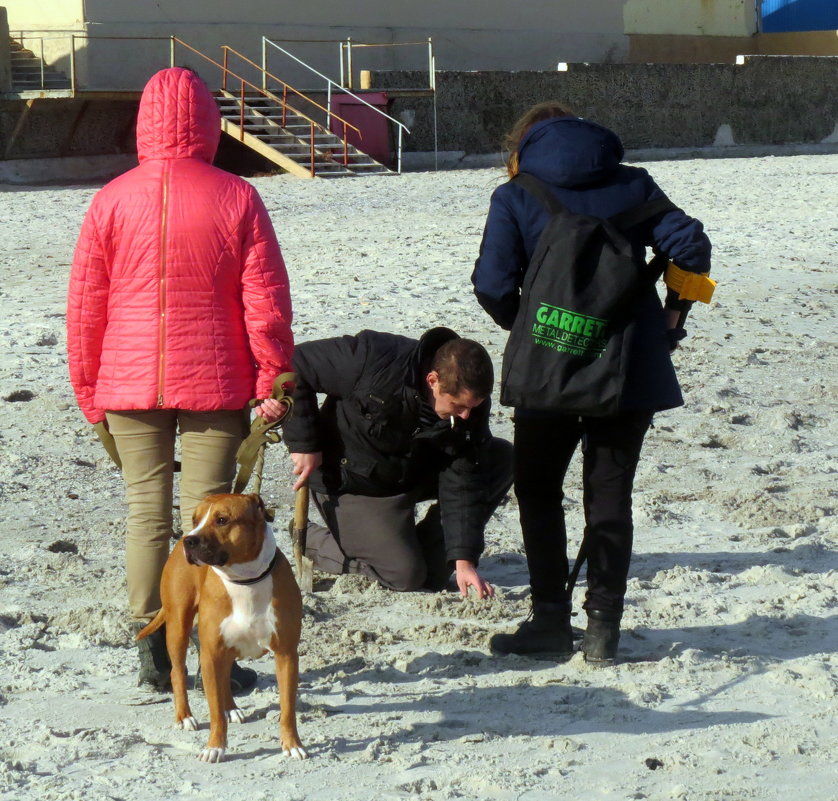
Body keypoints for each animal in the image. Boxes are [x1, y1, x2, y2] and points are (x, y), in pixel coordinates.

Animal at [138, 490, 308, 760]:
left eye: (222, 520)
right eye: (195, 519)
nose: (189, 540)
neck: (245, 581)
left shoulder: (286, 654)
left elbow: (288, 707)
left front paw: (292, 744)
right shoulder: (210, 653)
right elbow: (214, 709)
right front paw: (215, 747)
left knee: (226, 672)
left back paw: (231, 708)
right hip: (178, 625)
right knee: (177, 672)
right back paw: (184, 716)